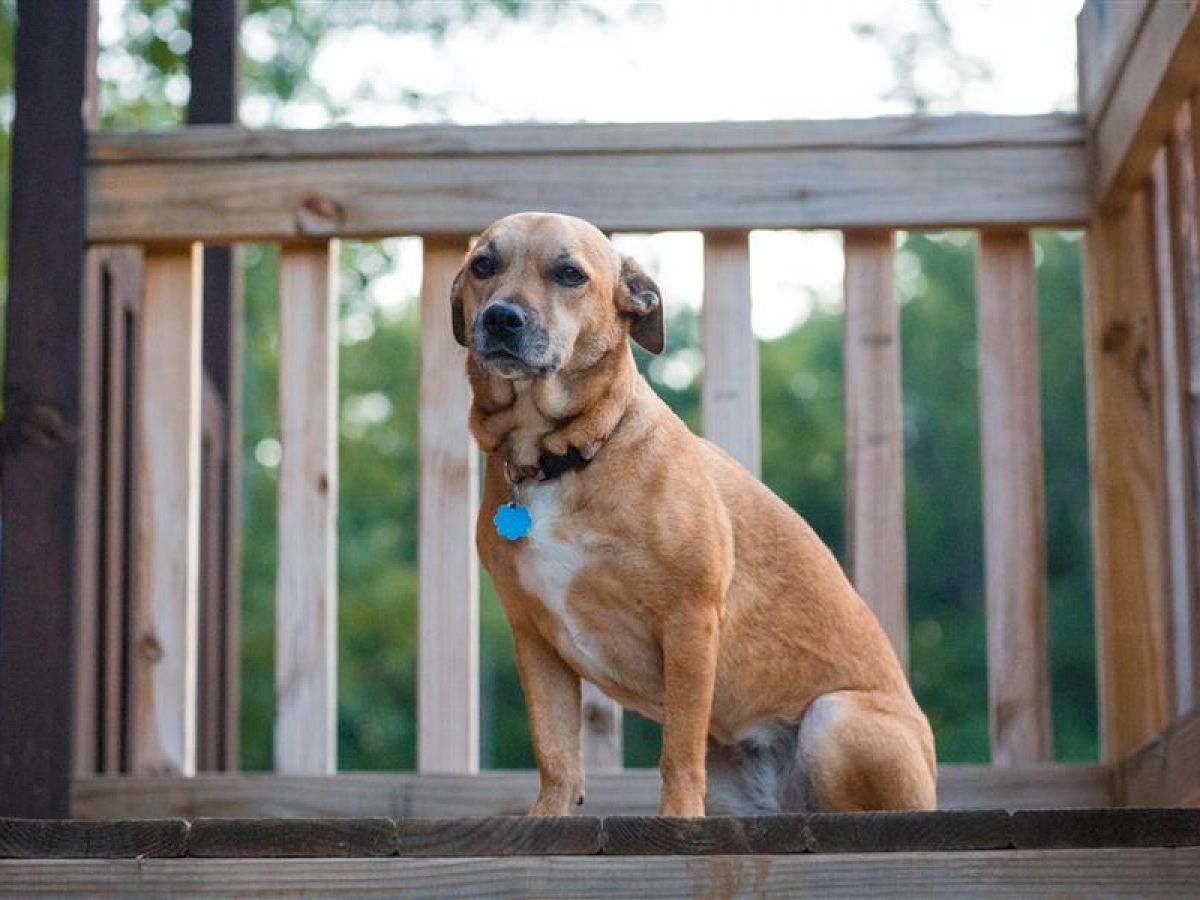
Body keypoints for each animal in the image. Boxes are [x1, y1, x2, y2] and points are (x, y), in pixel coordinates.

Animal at [453, 211, 931, 816]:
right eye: (482, 265)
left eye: (569, 274)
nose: (501, 318)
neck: (560, 458)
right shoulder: (535, 639)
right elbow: (557, 753)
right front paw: (548, 818)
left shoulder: (689, 621)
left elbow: (677, 752)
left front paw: (677, 820)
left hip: (834, 720)